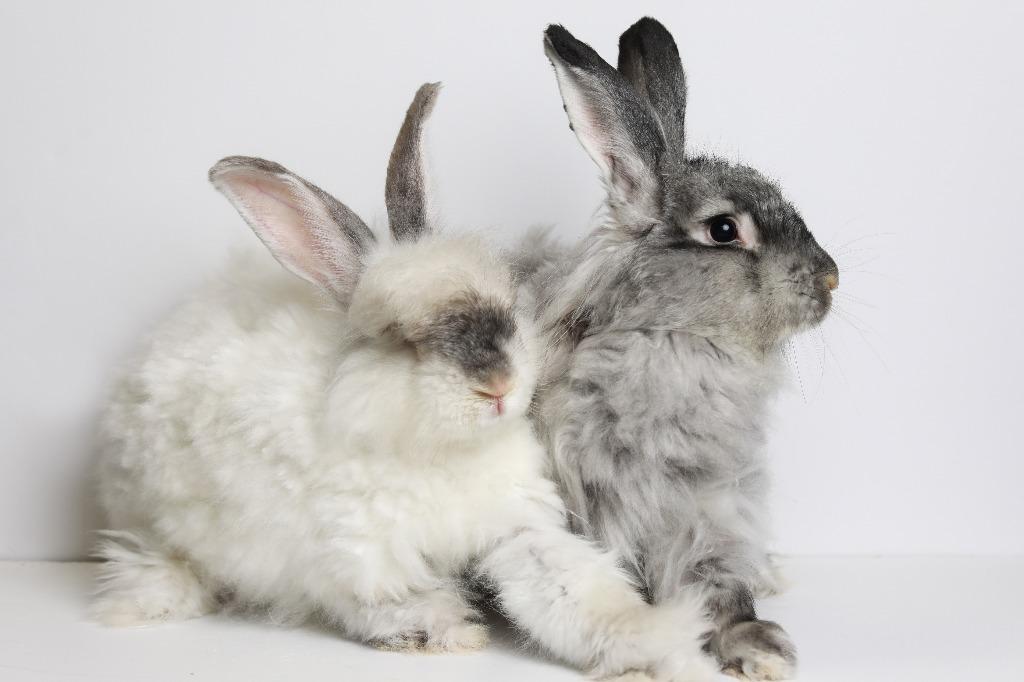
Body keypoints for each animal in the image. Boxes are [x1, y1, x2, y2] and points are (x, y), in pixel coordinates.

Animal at [91, 82, 715, 682]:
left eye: (507, 305)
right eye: (399, 337)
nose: (497, 385)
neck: (439, 451)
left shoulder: (513, 527)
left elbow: (571, 586)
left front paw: (655, 647)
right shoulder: (353, 552)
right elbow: (377, 601)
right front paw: (442, 631)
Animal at [516, 18, 840, 681]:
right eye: (723, 230)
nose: (831, 278)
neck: (677, 337)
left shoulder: (707, 508)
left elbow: (722, 585)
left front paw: (761, 651)